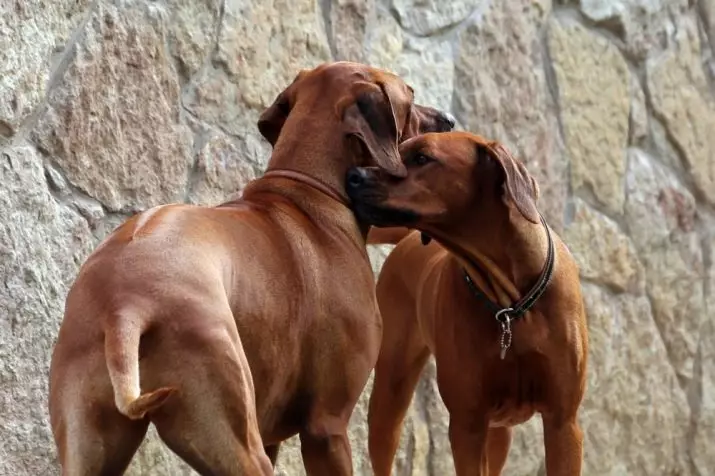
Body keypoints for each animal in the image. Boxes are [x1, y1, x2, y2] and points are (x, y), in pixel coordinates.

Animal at [50, 62, 456, 476]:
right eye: (409, 96)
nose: (450, 121)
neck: (311, 191)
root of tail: (125, 305)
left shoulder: (274, 431)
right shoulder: (327, 426)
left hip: (94, 445)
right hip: (237, 431)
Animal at [346, 131, 588, 476]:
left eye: (422, 158)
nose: (353, 175)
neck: (510, 307)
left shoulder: (563, 422)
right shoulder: (467, 424)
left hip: (501, 428)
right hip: (390, 394)